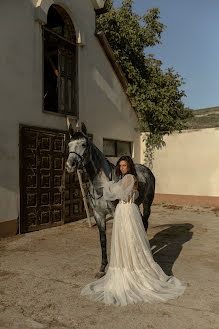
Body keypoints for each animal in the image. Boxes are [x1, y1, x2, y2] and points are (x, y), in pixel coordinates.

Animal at [66, 123, 155, 276]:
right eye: (69, 144)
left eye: (84, 144)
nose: (69, 165)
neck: (102, 185)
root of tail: (146, 169)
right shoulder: (99, 215)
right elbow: (103, 239)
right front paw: (102, 268)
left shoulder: (115, 212)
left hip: (147, 203)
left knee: (145, 222)